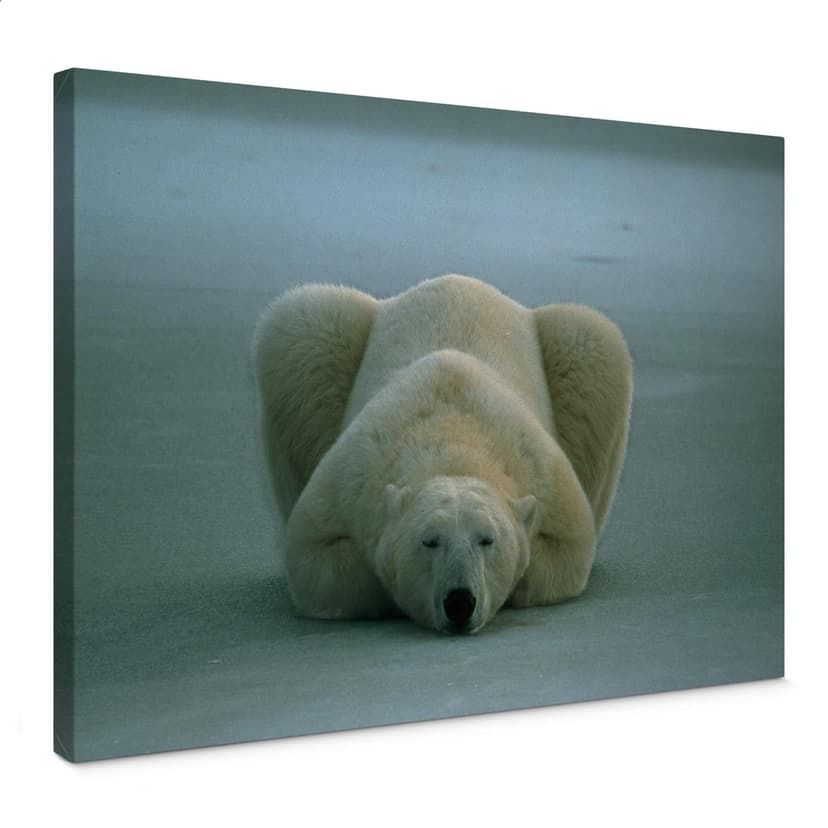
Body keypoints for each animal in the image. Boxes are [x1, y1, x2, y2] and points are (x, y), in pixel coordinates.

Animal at [253, 274, 632, 633]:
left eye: (487, 539)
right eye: (430, 541)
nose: (460, 602)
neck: (452, 440)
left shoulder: (544, 475)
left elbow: (567, 551)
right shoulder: (352, 475)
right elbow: (313, 557)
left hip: (573, 354)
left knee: (591, 340)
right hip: (326, 345)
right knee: (303, 326)